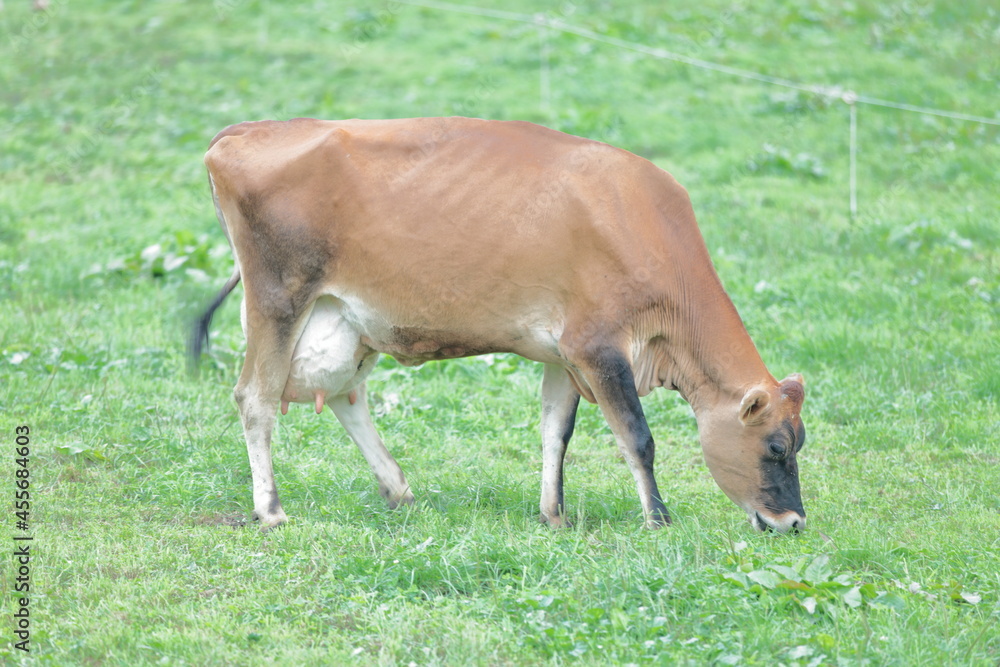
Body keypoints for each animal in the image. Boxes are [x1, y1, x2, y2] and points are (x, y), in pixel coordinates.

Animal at [190, 116, 807, 533]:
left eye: (800, 441)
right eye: (777, 446)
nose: (795, 522)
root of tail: (245, 130)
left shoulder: (563, 352)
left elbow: (556, 432)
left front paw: (554, 514)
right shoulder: (598, 345)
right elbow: (638, 436)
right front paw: (658, 518)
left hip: (342, 318)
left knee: (345, 395)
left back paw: (400, 490)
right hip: (278, 298)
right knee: (256, 396)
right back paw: (271, 510)